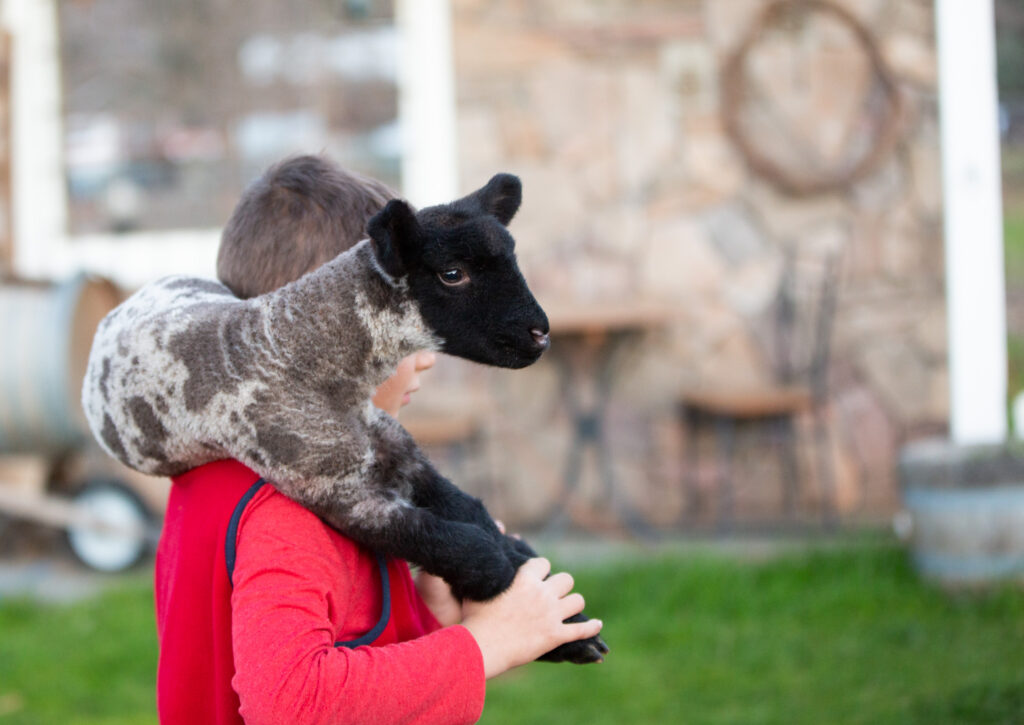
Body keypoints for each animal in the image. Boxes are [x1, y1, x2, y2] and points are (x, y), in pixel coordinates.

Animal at [86, 174, 606, 663]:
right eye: (452, 273)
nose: (540, 334)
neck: (294, 345)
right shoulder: (336, 488)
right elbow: (457, 542)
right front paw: (528, 602)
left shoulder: (398, 449)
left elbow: (470, 511)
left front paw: (567, 619)